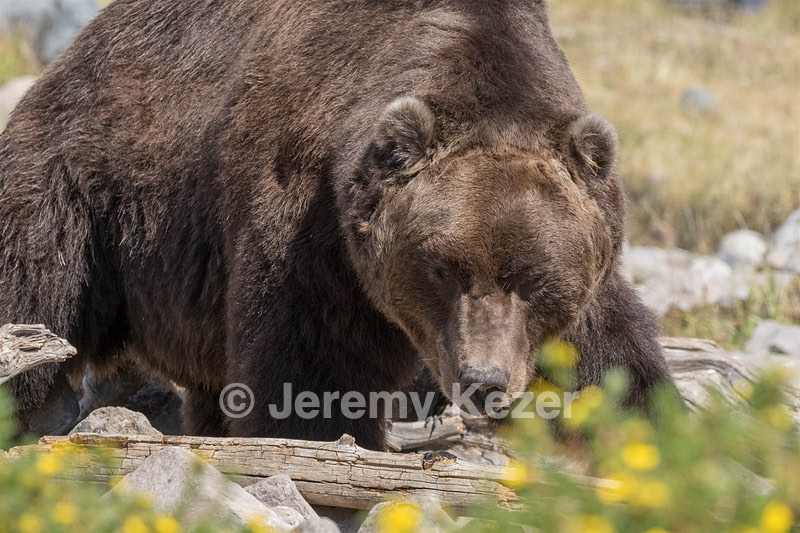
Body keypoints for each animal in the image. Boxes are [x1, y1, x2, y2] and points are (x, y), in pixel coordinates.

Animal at [0, 0, 677, 449]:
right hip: (80, 196)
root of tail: (76, 51)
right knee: (36, 292)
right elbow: (312, 364)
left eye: (532, 278)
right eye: (443, 269)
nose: (482, 380)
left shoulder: (581, 249)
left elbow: (611, 355)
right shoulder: (315, 228)